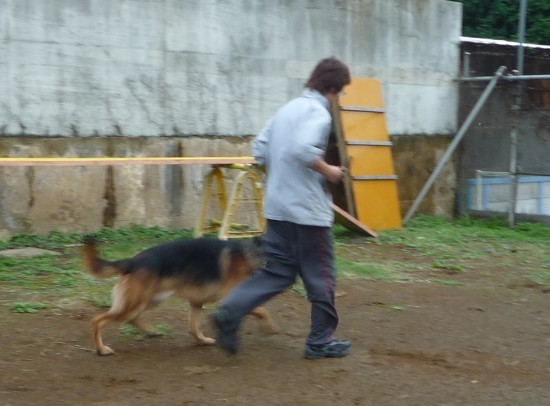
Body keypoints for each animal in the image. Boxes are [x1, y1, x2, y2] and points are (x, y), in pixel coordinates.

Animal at [80, 235, 278, 356]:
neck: (254, 254)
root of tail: (133, 261)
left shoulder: (196, 301)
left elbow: (194, 325)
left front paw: (202, 340)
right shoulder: (232, 296)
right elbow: (261, 309)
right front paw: (270, 327)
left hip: (149, 300)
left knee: (132, 318)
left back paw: (152, 331)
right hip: (136, 303)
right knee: (97, 321)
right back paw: (102, 349)